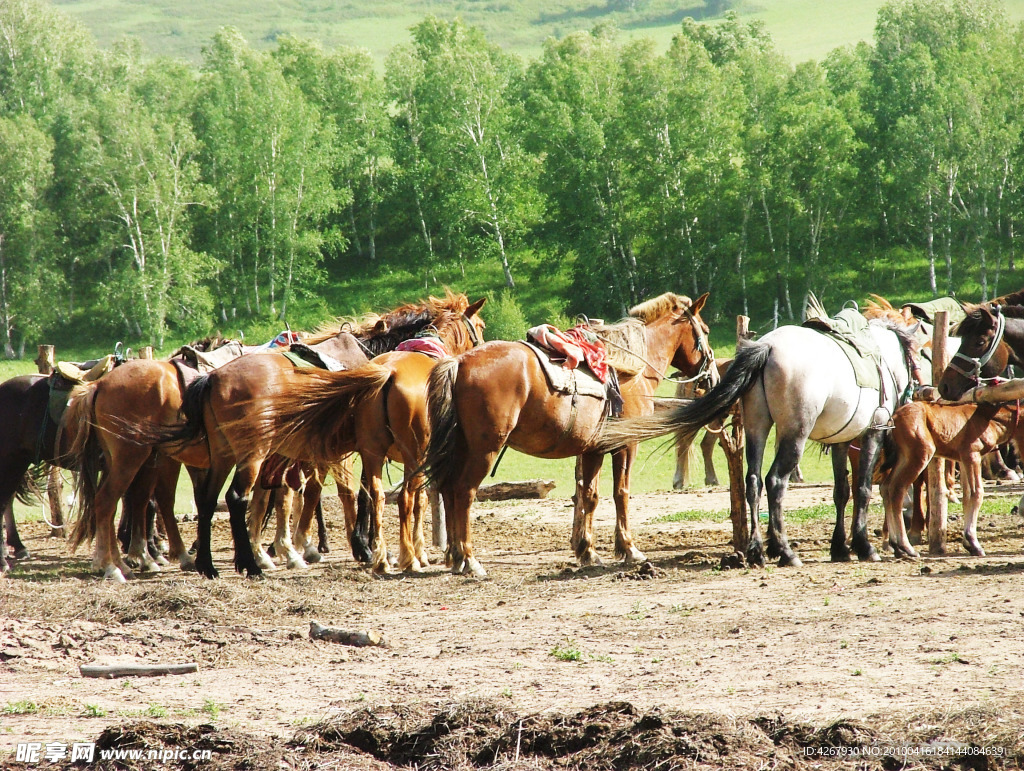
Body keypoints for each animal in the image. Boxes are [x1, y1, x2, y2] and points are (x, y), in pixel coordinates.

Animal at [419, 290, 716, 573]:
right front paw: (629, 549)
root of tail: (459, 363)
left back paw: (455, 556)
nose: (711, 376)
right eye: (706, 330)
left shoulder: (593, 449)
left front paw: (588, 551)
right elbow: (621, 493)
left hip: (460, 447)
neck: (631, 367)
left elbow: (589, 496)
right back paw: (469, 559)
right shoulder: (625, 444)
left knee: (447, 489)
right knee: (464, 491)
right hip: (484, 450)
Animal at [598, 309, 917, 569]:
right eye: (914, 360)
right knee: (775, 482)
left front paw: (839, 548)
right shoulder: (872, 434)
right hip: (793, 435)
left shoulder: (840, 441)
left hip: (757, 429)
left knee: (752, 481)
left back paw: (756, 550)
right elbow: (862, 489)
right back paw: (784, 551)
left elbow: (842, 491)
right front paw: (864, 547)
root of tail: (768, 347)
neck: (879, 356)